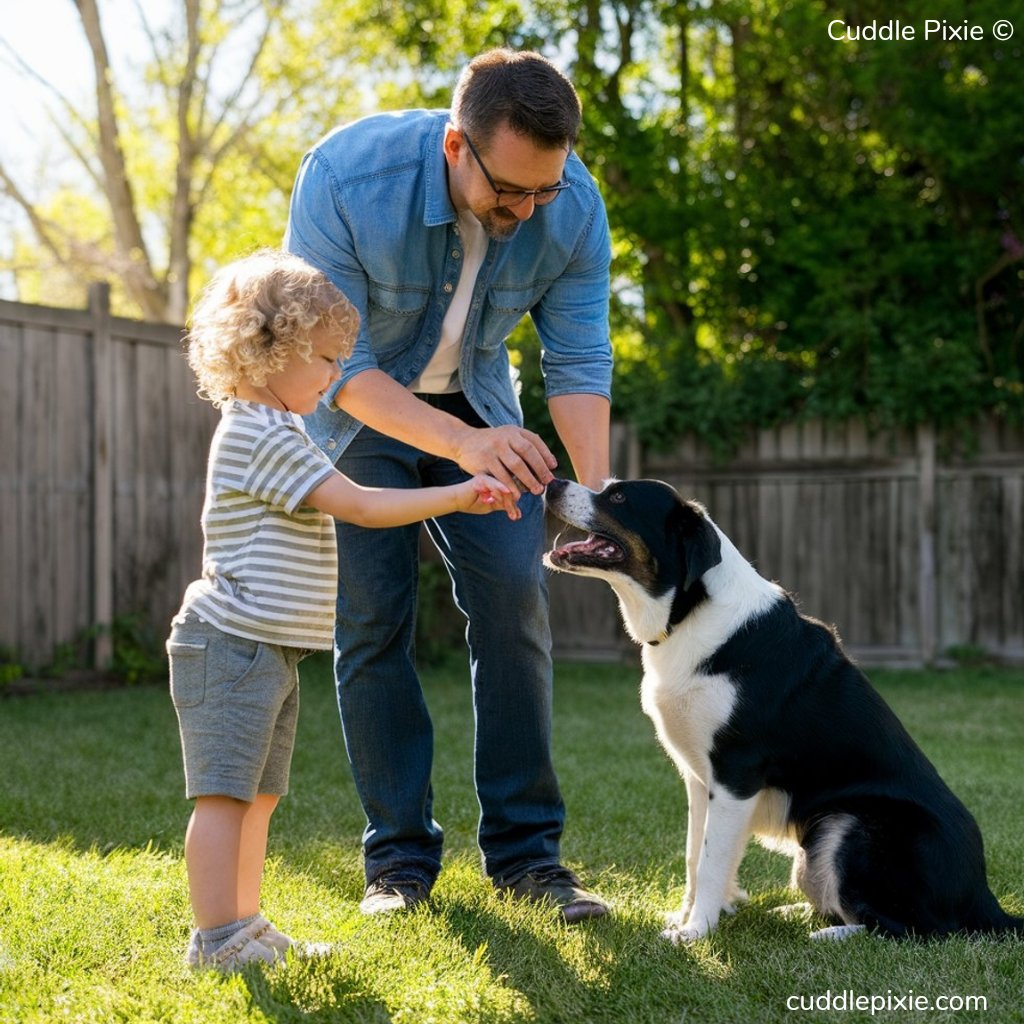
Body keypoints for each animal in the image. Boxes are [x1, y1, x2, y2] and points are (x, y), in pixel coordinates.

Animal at [544, 479, 1024, 942]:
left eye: (619, 496)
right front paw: (689, 917)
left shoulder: (735, 775)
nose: (552, 483)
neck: (691, 615)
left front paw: (695, 933)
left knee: (917, 930)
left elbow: (712, 860)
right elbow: (694, 857)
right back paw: (794, 912)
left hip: (850, 825)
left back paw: (831, 935)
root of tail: (984, 897)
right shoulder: (699, 779)